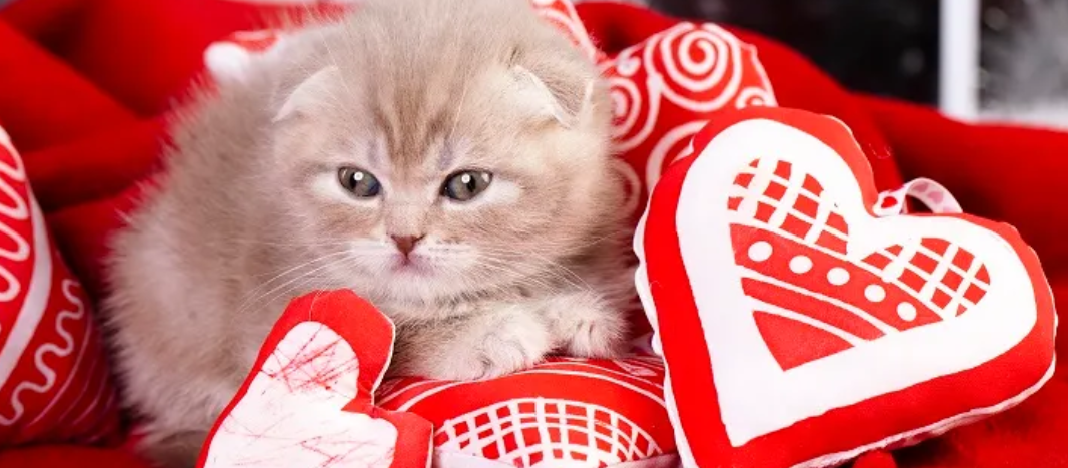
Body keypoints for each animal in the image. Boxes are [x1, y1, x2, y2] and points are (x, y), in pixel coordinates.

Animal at [102, 0, 634, 466]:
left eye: (466, 184)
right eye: (357, 182)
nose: (404, 238)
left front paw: (575, 309)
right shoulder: (269, 315)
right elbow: (399, 338)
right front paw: (489, 331)